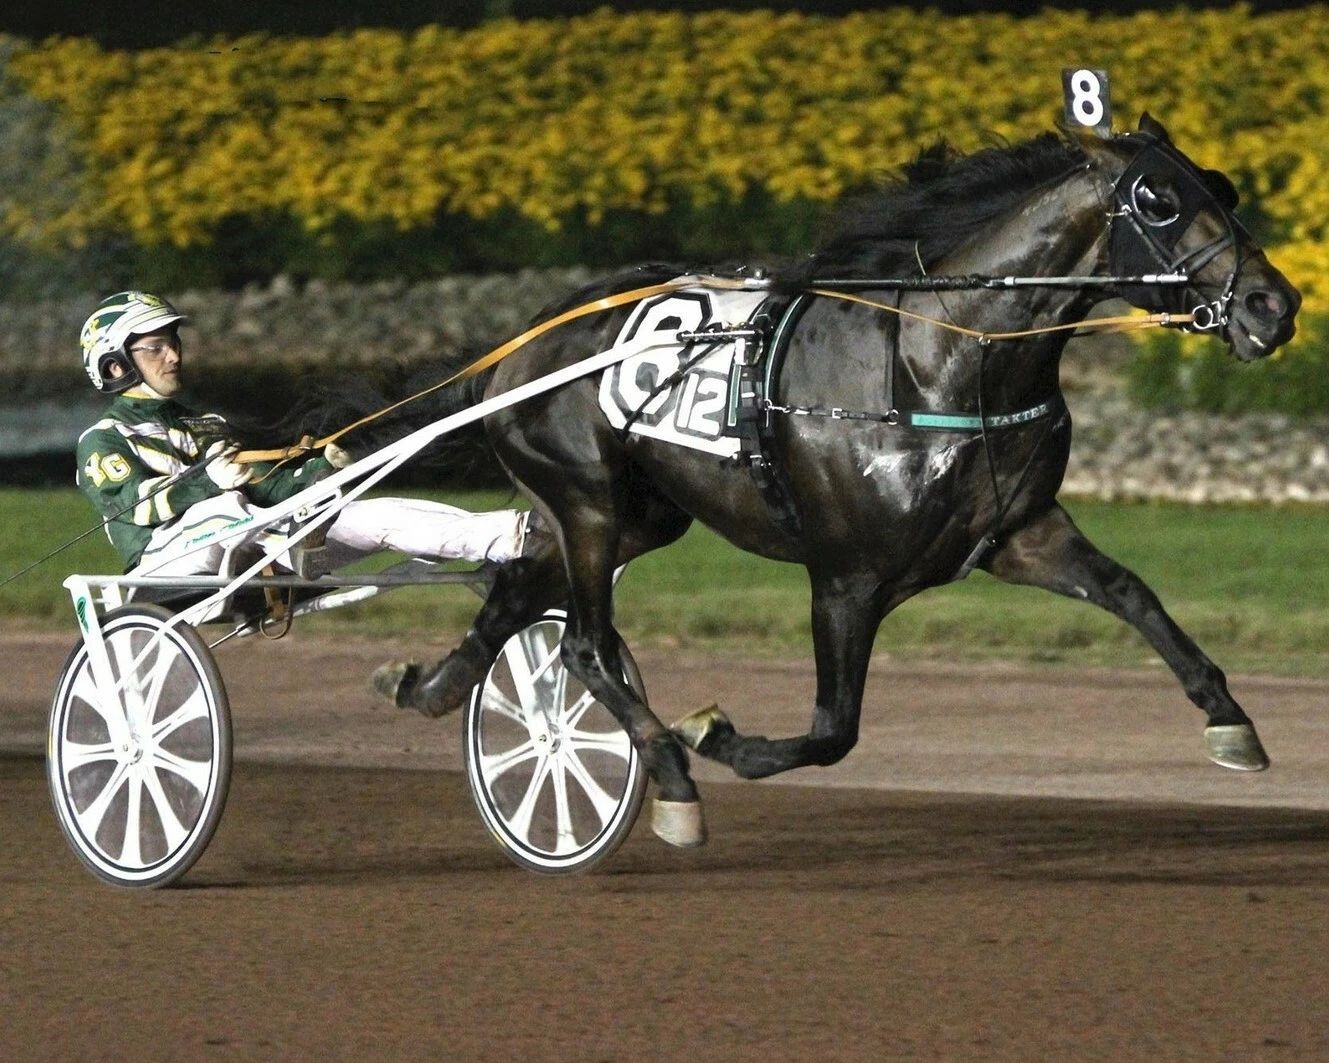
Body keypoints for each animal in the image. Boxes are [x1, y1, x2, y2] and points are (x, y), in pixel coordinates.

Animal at [377, 115, 1301, 847]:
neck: (940, 358)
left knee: (513, 595)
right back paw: (670, 777)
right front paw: (719, 738)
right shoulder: (845, 576)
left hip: (642, 513)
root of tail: (517, 347)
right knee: (581, 642)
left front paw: (1231, 721)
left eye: (1220, 185)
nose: (1274, 304)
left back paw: (429, 686)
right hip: (588, 500)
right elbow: (832, 731)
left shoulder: (1017, 532)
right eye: (1158, 200)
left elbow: (1131, 592)